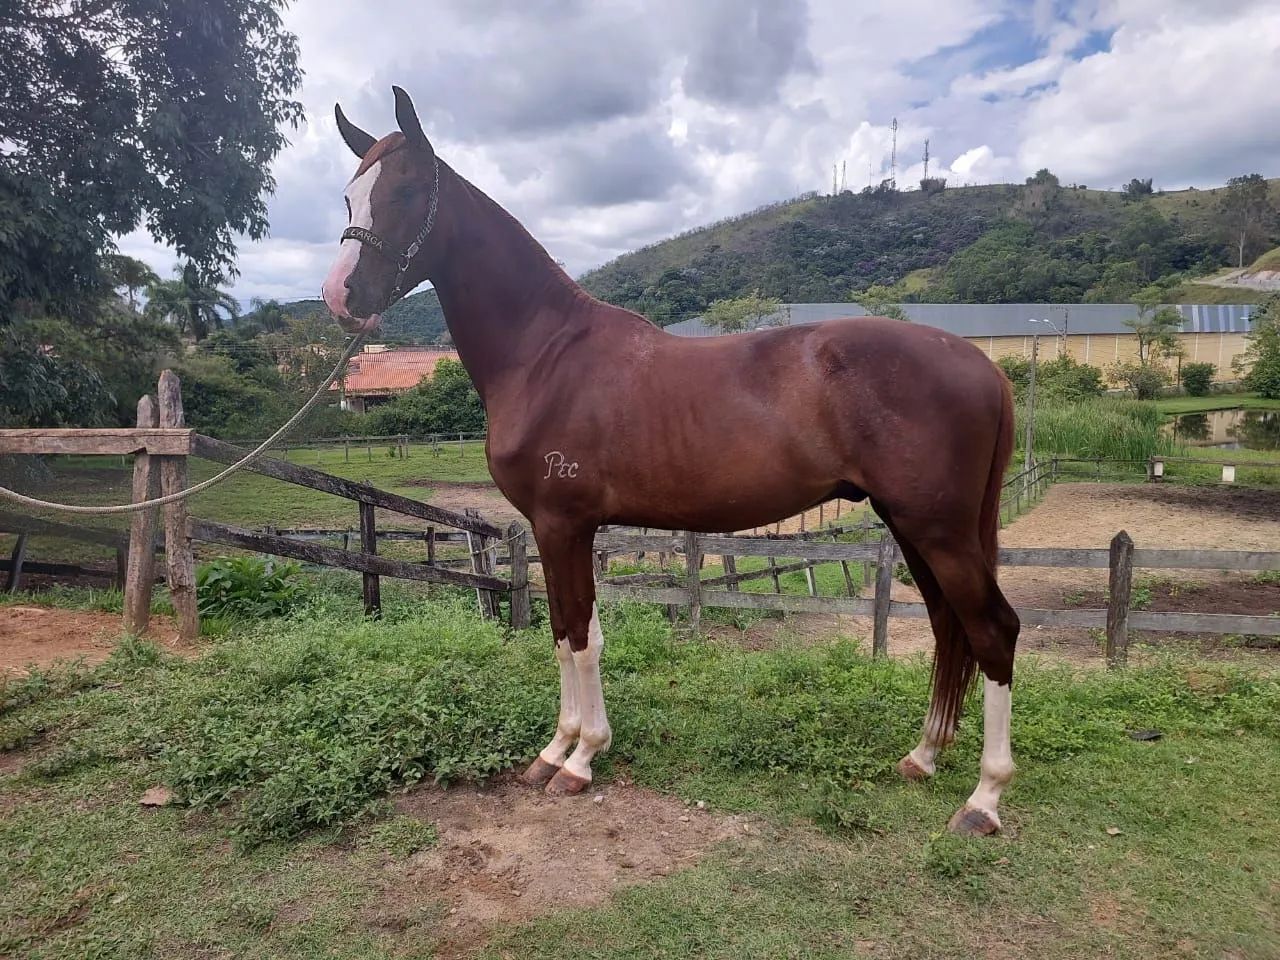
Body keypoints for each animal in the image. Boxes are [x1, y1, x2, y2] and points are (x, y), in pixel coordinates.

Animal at [321, 87, 1021, 836]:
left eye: (405, 189)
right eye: (348, 195)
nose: (340, 297)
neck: (545, 354)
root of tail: (984, 366)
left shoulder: (561, 524)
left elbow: (579, 636)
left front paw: (579, 759)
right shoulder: (559, 529)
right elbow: (567, 632)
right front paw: (555, 749)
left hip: (937, 528)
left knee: (992, 630)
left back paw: (983, 799)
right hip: (912, 524)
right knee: (950, 626)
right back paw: (923, 757)